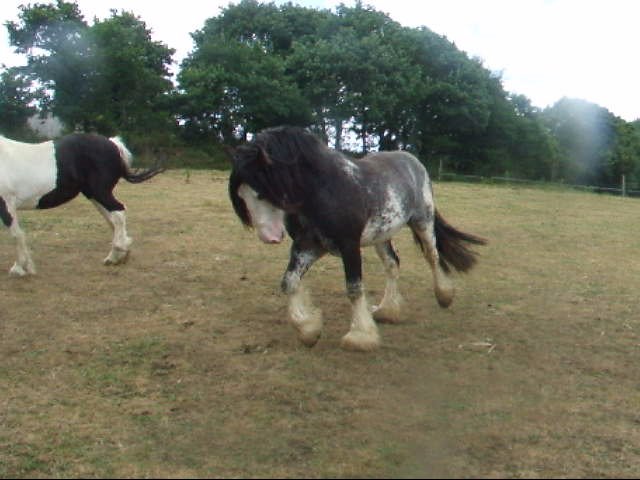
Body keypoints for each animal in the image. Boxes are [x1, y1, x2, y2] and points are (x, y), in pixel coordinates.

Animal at [0, 131, 165, 276]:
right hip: (93, 194)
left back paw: (116, 252)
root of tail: (112, 143)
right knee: (112, 219)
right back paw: (118, 255)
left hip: (100, 192)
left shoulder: (6, 204)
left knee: (118, 213)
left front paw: (19, 268)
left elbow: (16, 235)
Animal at [230, 126, 484, 352]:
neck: (323, 189)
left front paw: (360, 337)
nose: (269, 237)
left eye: (261, 191)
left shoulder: (349, 245)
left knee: (432, 255)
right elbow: (289, 282)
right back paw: (387, 311)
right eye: (241, 196)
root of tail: (412, 160)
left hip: (423, 221)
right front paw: (308, 331)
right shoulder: (307, 246)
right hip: (382, 234)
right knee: (392, 264)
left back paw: (444, 296)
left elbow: (353, 288)